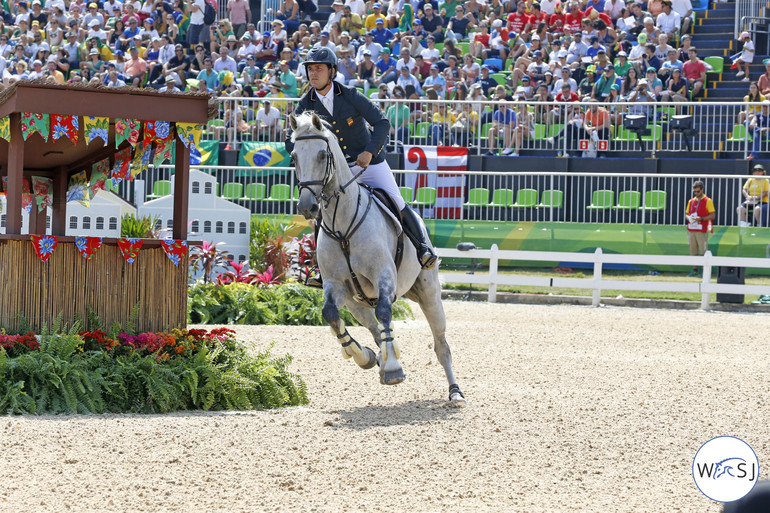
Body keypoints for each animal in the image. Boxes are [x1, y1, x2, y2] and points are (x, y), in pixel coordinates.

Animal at [286, 113, 462, 404]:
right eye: (293, 156)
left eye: (322, 155)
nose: (306, 207)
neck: (343, 225)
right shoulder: (335, 285)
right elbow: (330, 314)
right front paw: (364, 356)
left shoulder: (384, 276)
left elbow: (384, 312)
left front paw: (392, 369)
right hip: (356, 303)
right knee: (373, 328)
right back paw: (377, 356)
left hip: (429, 294)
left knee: (441, 345)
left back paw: (455, 392)